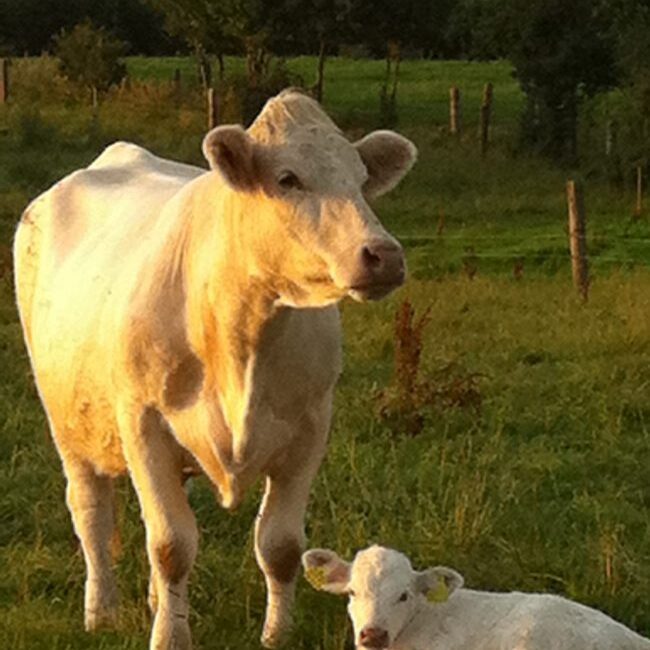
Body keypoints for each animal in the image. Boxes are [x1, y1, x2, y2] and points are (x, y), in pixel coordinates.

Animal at [13, 87, 416, 648]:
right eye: (287, 178)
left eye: (361, 181)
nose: (384, 254)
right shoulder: (143, 423)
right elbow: (171, 544)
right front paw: (169, 637)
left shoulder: (310, 427)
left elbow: (279, 544)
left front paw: (277, 634)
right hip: (66, 422)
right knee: (91, 513)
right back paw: (102, 611)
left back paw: (156, 602)